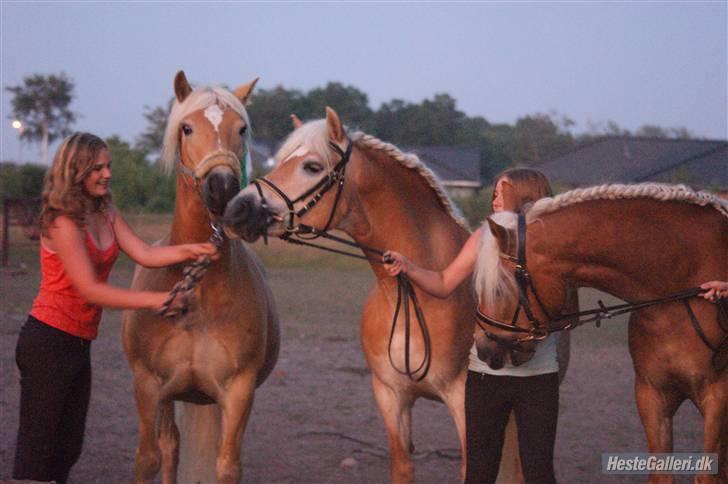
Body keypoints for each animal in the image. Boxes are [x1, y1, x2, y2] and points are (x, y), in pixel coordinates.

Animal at [121, 72, 280, 484]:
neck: (199, 292)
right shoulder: (148, 385)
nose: (221, 187)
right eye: (187, 128)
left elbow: (226, 466)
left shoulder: (238, 391)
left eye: (241, 128)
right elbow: (148, 459)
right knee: (170, 448)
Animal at [223, 108, 524, 482]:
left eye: (312, 166)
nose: (236, 210)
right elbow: (402, 465)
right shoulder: (390, 395)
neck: (415, 291)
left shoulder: (463, 399)